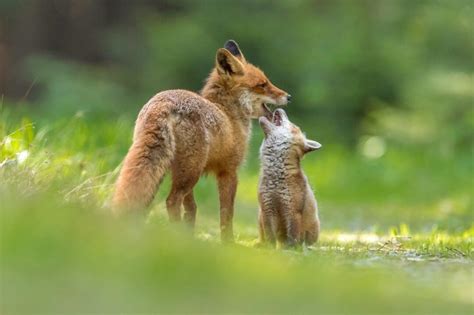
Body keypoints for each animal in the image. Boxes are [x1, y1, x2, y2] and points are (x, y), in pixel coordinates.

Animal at [113, 40, 290, 242]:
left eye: (266, 81)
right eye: (262, 84)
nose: (289, 96)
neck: (228, 114)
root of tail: (163, 103)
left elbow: (191, 209)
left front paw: (191, 236)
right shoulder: (229, 171)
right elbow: (227, 213)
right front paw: (228, 242)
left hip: (169, 169)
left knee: (144, 199)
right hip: (190, 171)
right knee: (171, 201)